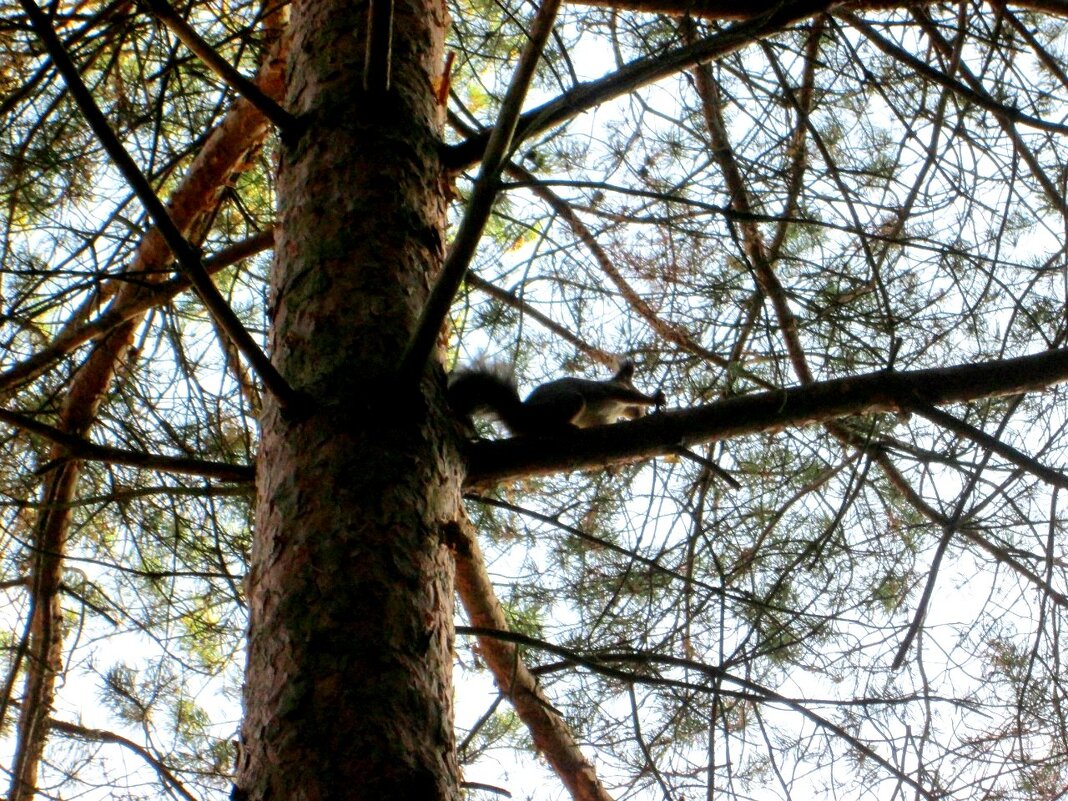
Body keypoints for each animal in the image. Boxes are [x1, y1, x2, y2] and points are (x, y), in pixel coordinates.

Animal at [446, 360, 662, 435]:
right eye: (632, 385)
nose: (640, 413)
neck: (617, 411)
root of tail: (522, 415)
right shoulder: (611, 390)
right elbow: (626, 395)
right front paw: (654, 399)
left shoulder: (602, 420)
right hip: (567, 402)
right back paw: (564, 427)